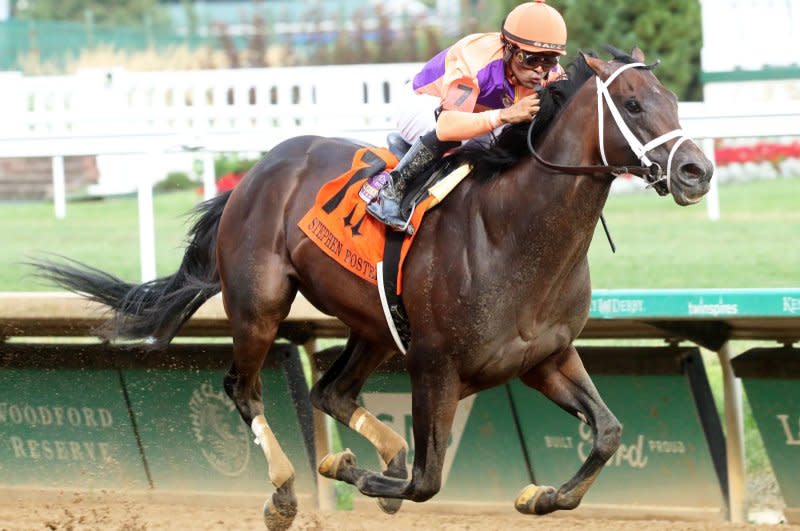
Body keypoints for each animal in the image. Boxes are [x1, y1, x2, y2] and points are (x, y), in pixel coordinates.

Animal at [36, 47, 712, 528]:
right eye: (632, 104)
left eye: (674, 100)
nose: (696, 171)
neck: (512, 234)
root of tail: (254, 172)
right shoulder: (436, 368)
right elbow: (427, 481)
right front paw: (354, 471)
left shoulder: (544, 358)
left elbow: (608, 432)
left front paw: (540, 496)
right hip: (258, 305)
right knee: (244, 389)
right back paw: (287, 493)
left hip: (375, 326)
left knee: (330, 392)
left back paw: (375, 453)